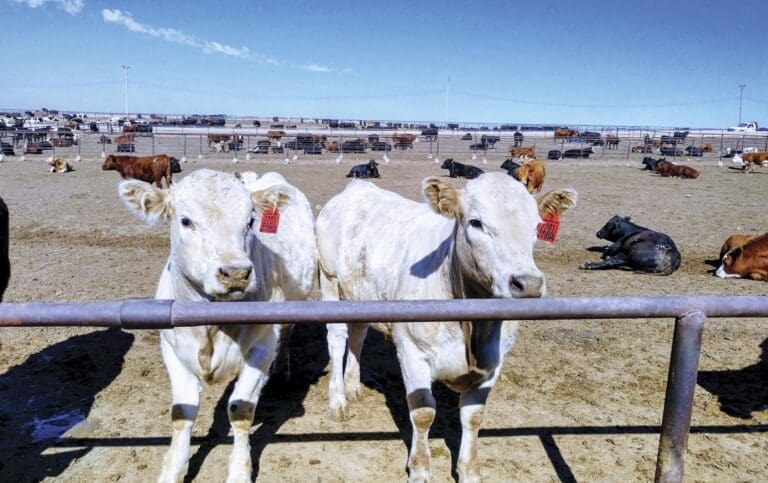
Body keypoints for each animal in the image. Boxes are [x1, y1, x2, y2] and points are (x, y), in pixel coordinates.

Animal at [118, 167, 316, 483]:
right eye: (186, 220)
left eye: (250, 221)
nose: (235, 273)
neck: (211, 325)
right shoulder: (172, 349)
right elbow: (182, 412)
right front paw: (173, 470)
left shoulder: (261, 347)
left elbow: (240, 410)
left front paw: (239, 471)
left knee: (286, 336)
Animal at [314, 175, 576, 483]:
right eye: (475, 222)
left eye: (536, 225)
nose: (528, 283)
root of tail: (357, 187)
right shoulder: (411, 351)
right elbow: (423, 412)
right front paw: (420, 468)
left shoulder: (495, 361)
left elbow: (473, 415)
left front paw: (469, 471)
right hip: (329, 278)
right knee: (337, 337)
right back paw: (338, 399)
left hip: (361, 293)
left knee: (358, 332)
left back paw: (353, 385)